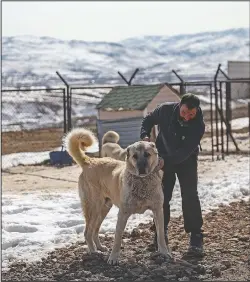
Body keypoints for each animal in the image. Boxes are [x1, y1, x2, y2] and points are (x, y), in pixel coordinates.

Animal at [63, 129, 171, 266]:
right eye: (135, 156)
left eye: (147, 154)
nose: (141, 169)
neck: (142, 182)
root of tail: (90, 161)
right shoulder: (123, 214)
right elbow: (117, 238)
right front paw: (113, 258)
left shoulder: (158, 211)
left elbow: (161, 234)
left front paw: (164, 253)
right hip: (93, 207)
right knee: (87, 232)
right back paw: (93, 251)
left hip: (104, 208)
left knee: (94, 230)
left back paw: (100, 247)